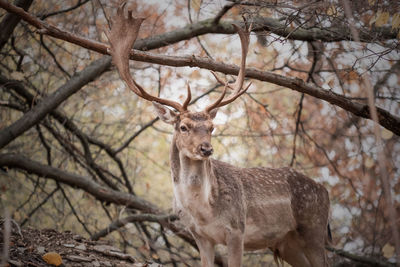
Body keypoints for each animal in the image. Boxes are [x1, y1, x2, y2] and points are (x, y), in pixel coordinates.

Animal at [105, 3, 332, 266]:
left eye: (211, 127)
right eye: (183, 127)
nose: (206, 148)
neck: (204, 212)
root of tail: (325, 191)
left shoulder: (236, 230)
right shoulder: (199, 236)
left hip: (314, 228)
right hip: (287, 242)